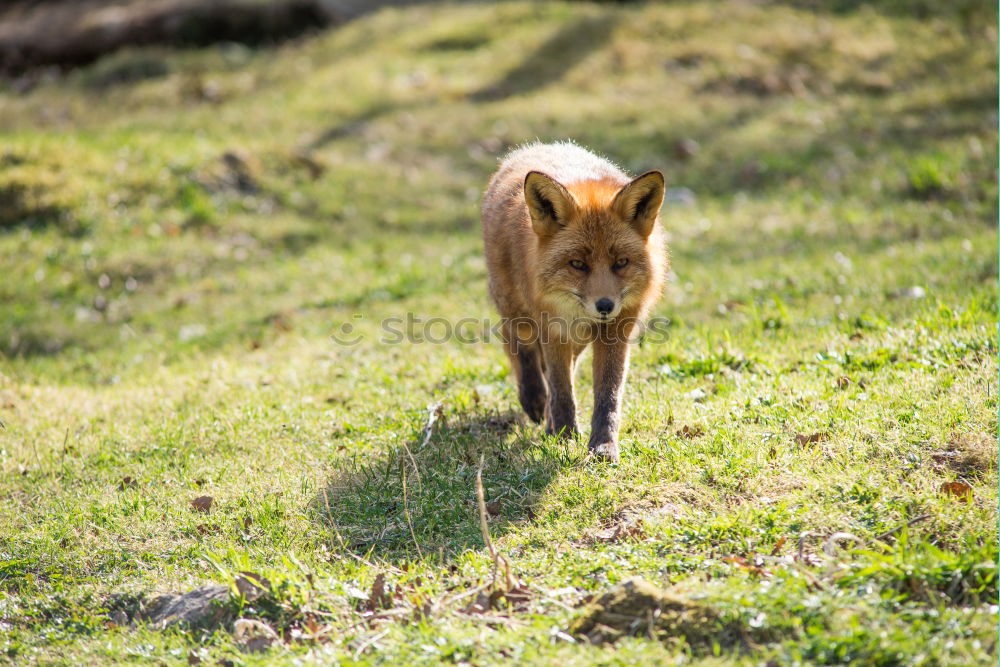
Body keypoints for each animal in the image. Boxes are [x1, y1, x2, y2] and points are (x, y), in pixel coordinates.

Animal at [482, 143, 668, 462]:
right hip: (517, 310)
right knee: (517, 343)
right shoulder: (553, 328)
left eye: (621, 262)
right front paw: (564, 436)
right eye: (578, 264)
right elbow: (561, 389)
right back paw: (534, 399)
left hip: (579, 338)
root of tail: (538, 146)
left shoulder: (615, 332)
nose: (605, 306)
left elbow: (608, 395)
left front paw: (603, 446)